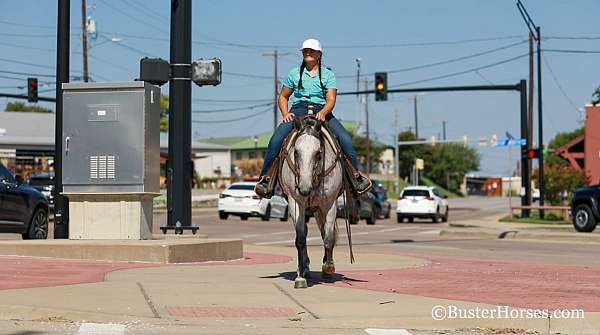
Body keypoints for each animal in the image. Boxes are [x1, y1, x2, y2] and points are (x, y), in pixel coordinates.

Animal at [280, 117, 344, 288]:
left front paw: (328, 267)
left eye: (318, 153)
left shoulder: (330, 204)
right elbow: (300, 238)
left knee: (324, 232)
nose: (304, 188)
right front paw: (300, 277)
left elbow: (328, 237)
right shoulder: (295, 203)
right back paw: (304, 267)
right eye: (296, 152)